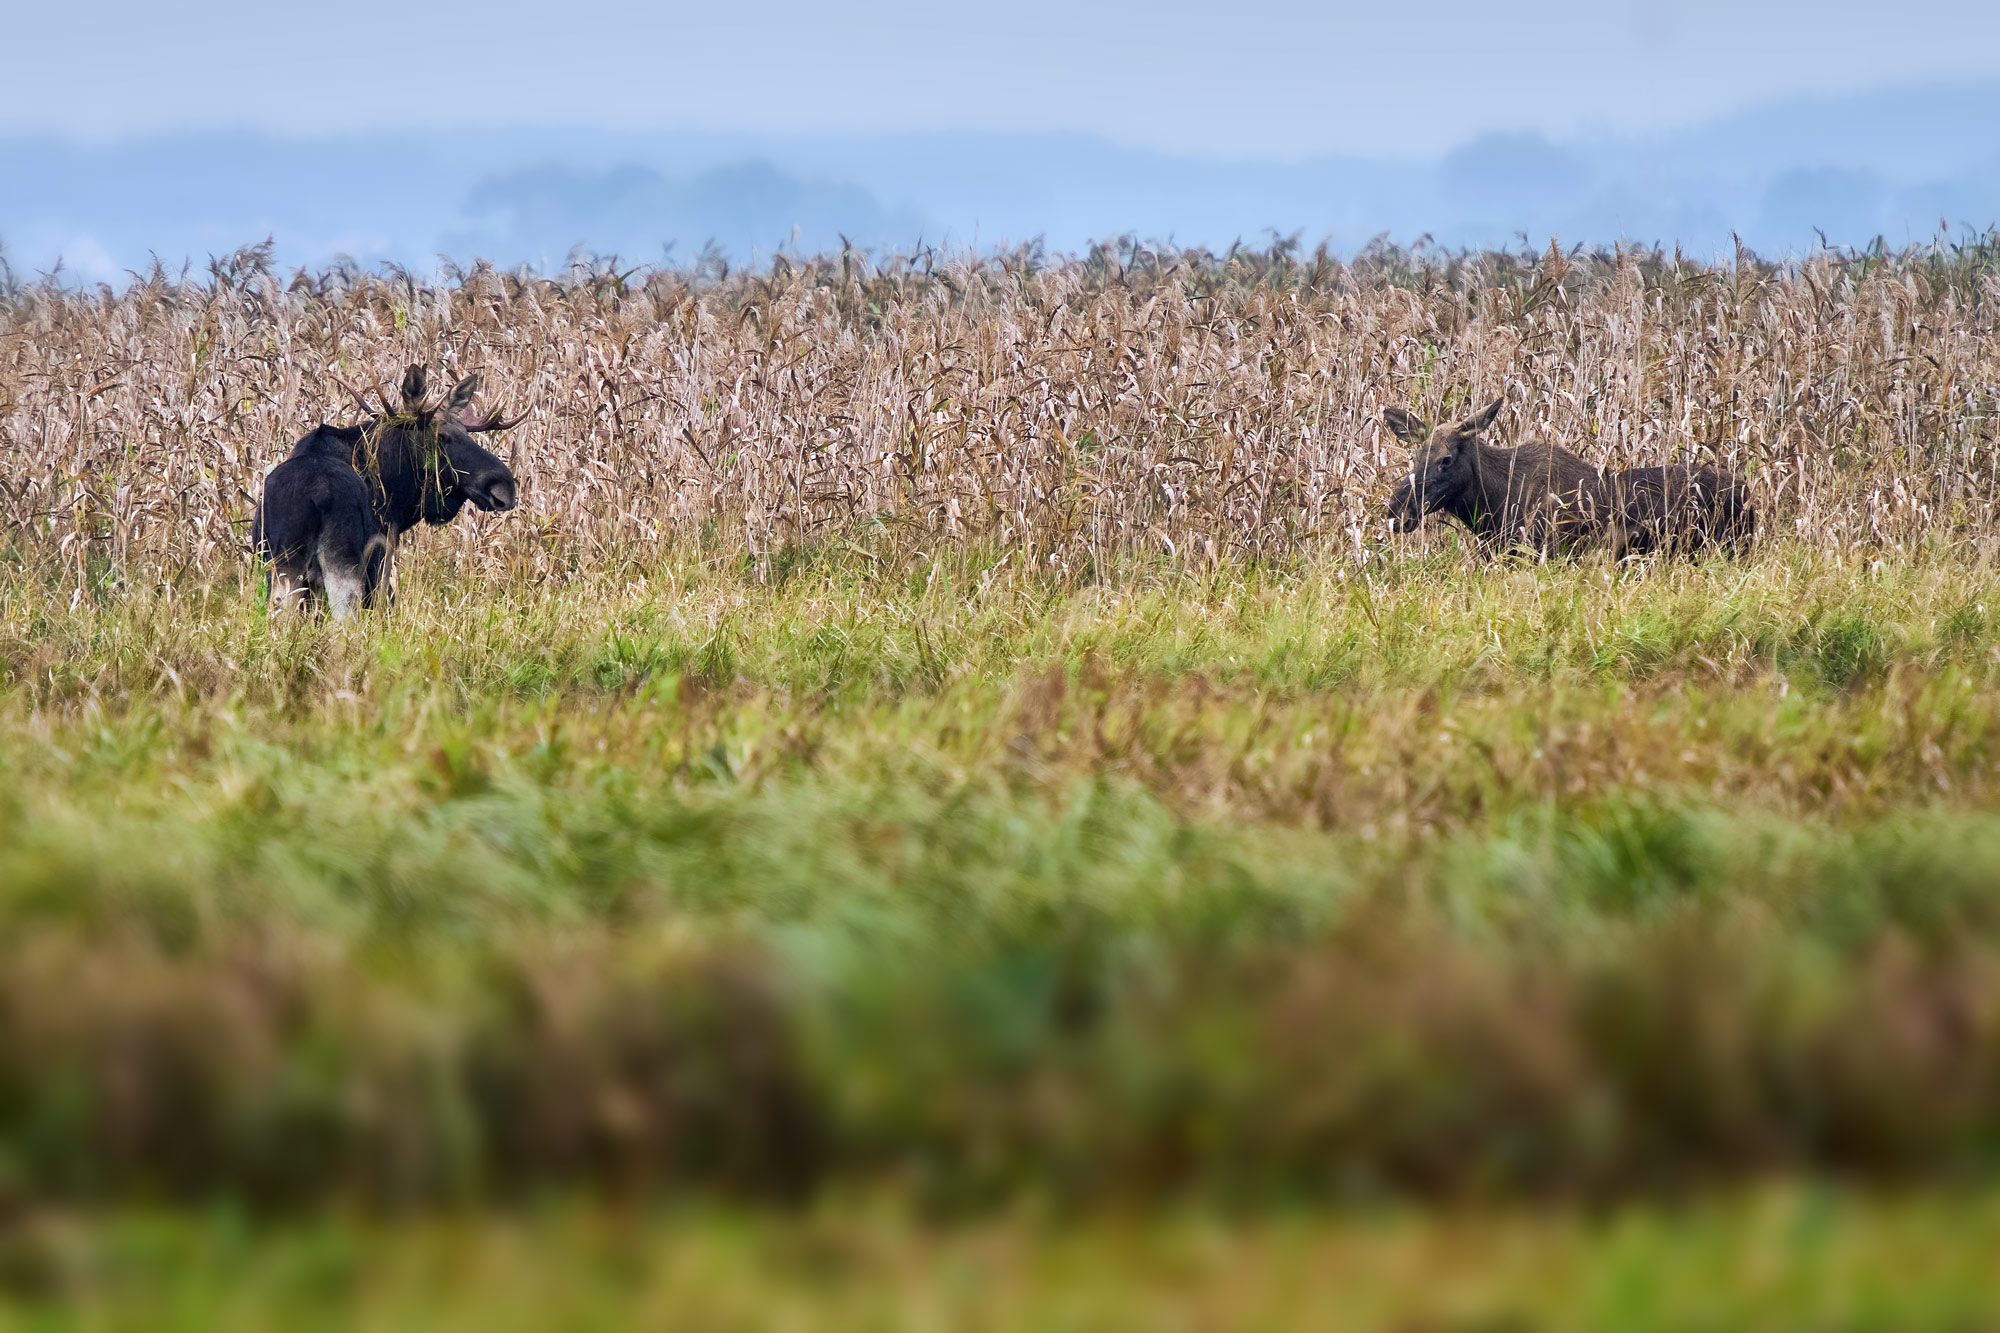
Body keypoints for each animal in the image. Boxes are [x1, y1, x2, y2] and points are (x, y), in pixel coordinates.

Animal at [254, 360, 524, 616]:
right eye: (441, 437)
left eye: (467, 434)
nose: (504, 485)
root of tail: (317, 498)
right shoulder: (382, 550)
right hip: (344, 559)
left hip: (286, 561)